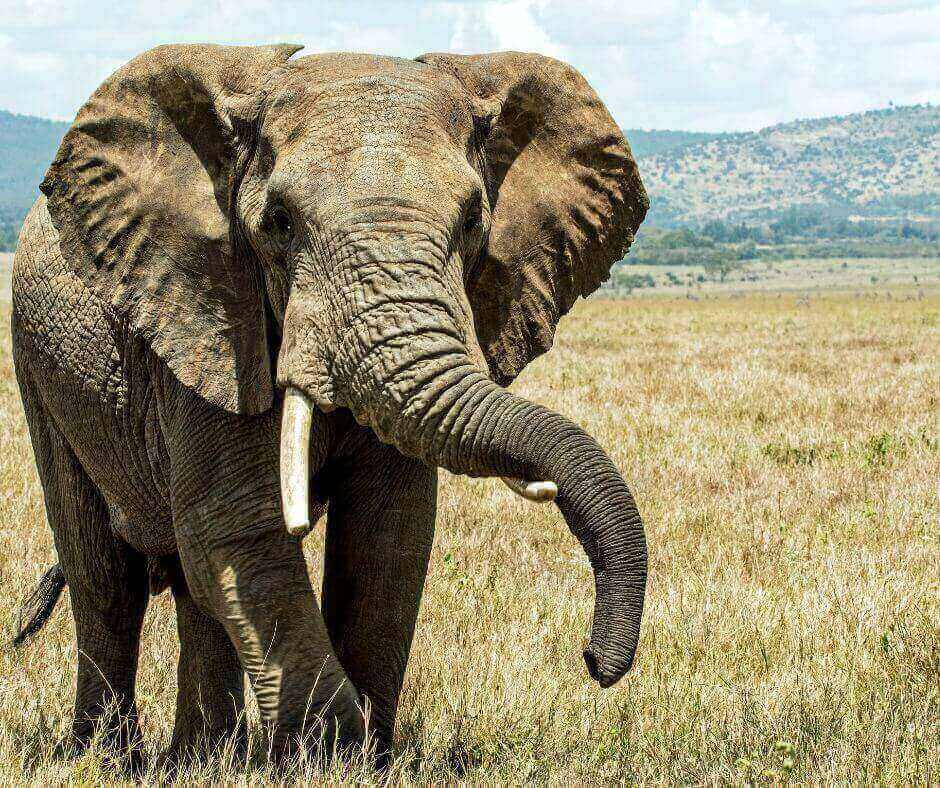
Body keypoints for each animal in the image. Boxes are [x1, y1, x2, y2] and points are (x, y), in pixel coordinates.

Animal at [10, 43, 649, 764]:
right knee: (106, 578)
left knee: (190, 584)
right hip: (41, 367)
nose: (595, 660)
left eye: (471, 222)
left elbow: (387, 536)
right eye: (280, 224)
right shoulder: (211, 316)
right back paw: (109, 758)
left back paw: (201, 760)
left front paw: (368, 757)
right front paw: (329, 752)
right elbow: (241, 528)